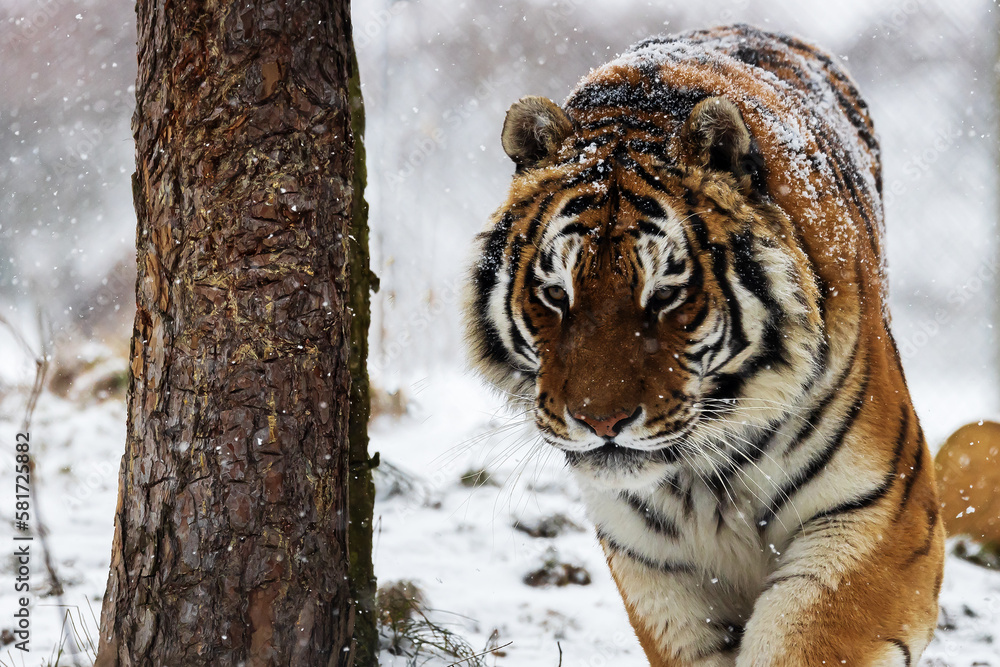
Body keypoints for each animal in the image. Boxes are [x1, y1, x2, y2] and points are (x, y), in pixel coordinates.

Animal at [463, 24, 947, 666]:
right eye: (556, 294)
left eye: (666, 295)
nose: (600, 422)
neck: (706, 476)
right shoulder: (651, 558)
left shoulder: (880, 511)